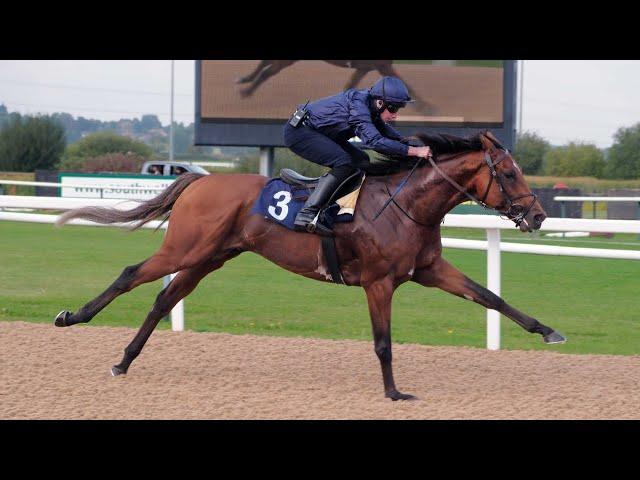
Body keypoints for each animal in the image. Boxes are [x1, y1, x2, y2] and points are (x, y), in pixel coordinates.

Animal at [53, 131, 564, 402]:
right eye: (510, 173)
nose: (539, 216)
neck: (407, 205)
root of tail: (198, 180)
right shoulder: (379, 282)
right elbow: (383, 343)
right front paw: (394, 392)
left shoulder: (429, 270)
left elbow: (490, 296)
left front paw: (548, 331)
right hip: (185, 249)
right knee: (130, 275)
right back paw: (71, 317)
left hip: (208, 259)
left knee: (161, 301)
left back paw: (123, 361)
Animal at [235, 58, 436, 113]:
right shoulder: (382, 66)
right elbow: (408, 87)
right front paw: (427, 109)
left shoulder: (365, 67)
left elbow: (349, 86)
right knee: (266, 71)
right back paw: (246, 90)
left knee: (265, 65)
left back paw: (244, 81)